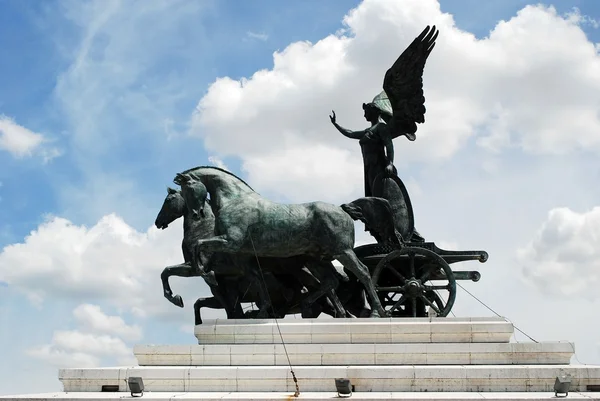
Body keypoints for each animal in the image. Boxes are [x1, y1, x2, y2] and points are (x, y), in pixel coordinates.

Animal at [175, 165, 390, 316]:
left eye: (188, 188)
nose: (197, 213)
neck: (234, 199)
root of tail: (342, 209)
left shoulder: (231, 242)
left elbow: (198, 246)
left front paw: (206, 274)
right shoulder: (239, 254)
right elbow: (256, 279)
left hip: (342, 251)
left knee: (363, 272)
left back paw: (378, 311)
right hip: (316, 259)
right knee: (331, 281)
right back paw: (309, 305)